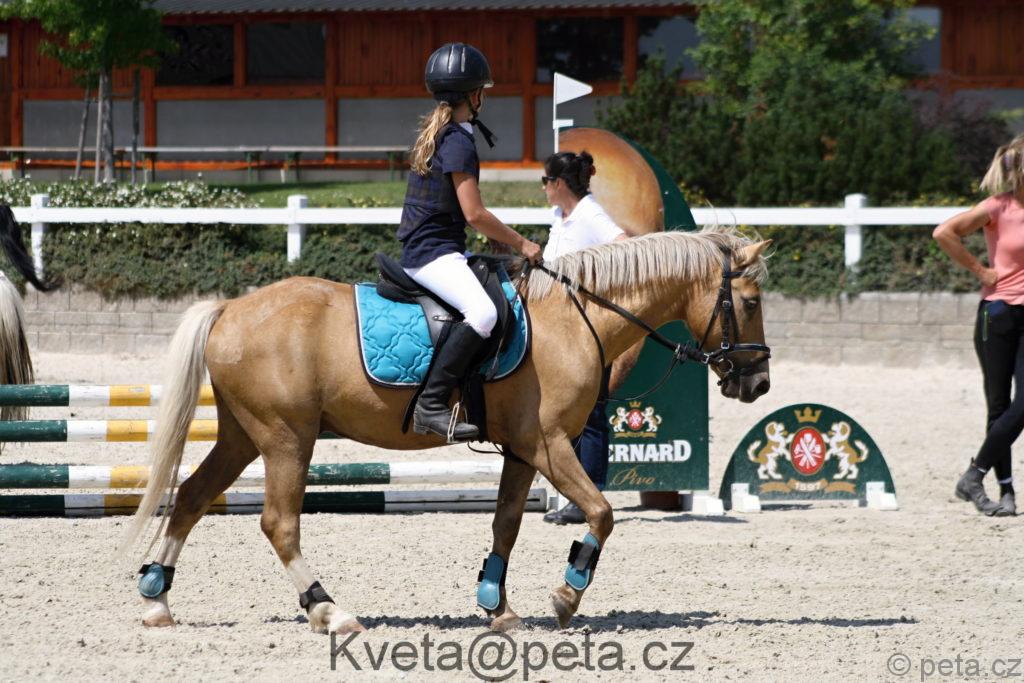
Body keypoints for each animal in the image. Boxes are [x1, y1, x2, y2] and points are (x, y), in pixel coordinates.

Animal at [118, 130, 773, 635]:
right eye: (750, 301)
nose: (759, 383)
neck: (573, 316)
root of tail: (230, 308)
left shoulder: (522, 448)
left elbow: (507, 522)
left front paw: (497, 607)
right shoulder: (549, 443)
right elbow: (602, 512)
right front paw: (567, 594)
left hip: (243, 434)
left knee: (193, 496)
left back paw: (158, 599)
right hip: (286, 438)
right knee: (278, 522)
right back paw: (330, 611)